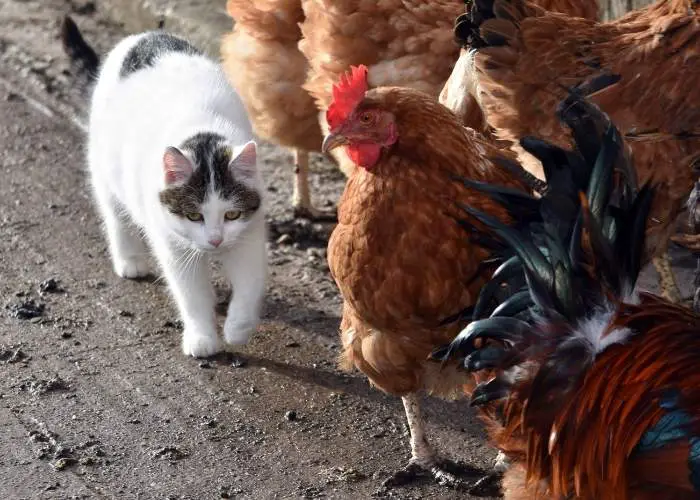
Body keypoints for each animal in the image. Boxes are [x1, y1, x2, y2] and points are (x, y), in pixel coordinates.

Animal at [82, 29, 266, 358]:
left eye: (231, 214)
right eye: (193, 215)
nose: (215, 240)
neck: (203, 134)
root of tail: (146, 34)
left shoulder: (249, 234)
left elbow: (248, 283)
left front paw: (238, 328)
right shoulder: (172, 245)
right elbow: (191, 294)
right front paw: (202, 337)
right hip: (104, 169)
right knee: (116, 216)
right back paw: (129, 259)